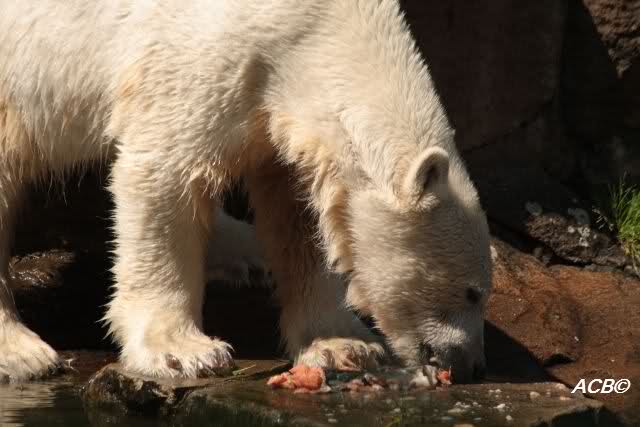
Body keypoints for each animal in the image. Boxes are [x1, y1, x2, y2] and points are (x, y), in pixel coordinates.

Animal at [0, 0, 492, 383]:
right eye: (472, 292)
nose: (471, 365)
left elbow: (299, 214)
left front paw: (343, 344)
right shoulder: (198, 55)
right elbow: (163, 172)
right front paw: (182, 351)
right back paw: (23, 352)